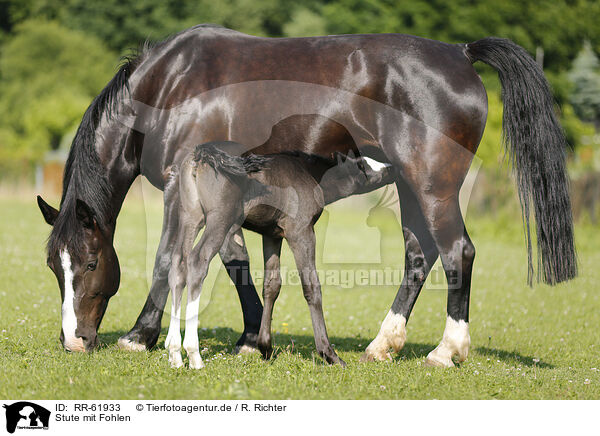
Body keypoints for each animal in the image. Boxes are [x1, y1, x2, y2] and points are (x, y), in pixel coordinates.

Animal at [166, 143, 396, 368]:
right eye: (363, 166)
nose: (390, 167)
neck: (309, 173)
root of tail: (201, 155)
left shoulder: (271, 236)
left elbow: (271, 285)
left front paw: (265, 348)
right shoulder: (301, 232)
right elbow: (312, 287)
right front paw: (329, 354)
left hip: (190, 218)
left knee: (178, 266)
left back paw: (175, 354)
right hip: (219, 220)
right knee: (197, 261)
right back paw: (194, 355)